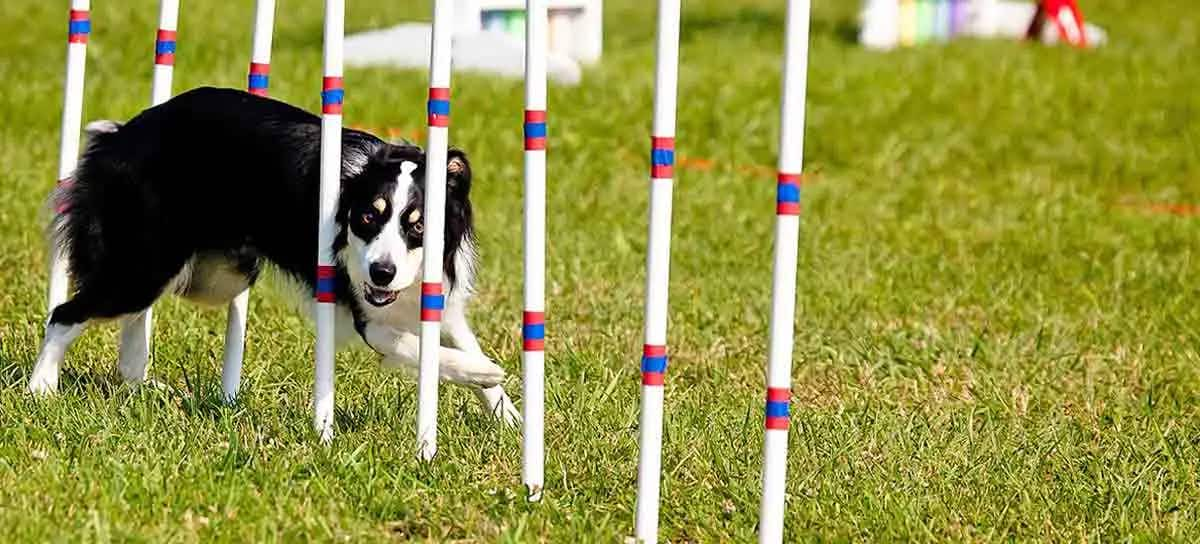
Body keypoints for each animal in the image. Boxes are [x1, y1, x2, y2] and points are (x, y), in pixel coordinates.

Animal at [30, 85, 518, 425]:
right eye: (366, 218)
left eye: (417, 226)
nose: (381, 272)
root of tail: (118, 136)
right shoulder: (367, 313)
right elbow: (418, 348)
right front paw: (484, 371)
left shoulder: (434, 295)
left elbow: (455, 336)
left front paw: (509, 417)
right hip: (148, 262)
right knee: (66, 313)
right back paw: (41, 389)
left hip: (216, 275)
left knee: (134, 314)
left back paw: (137, 382)